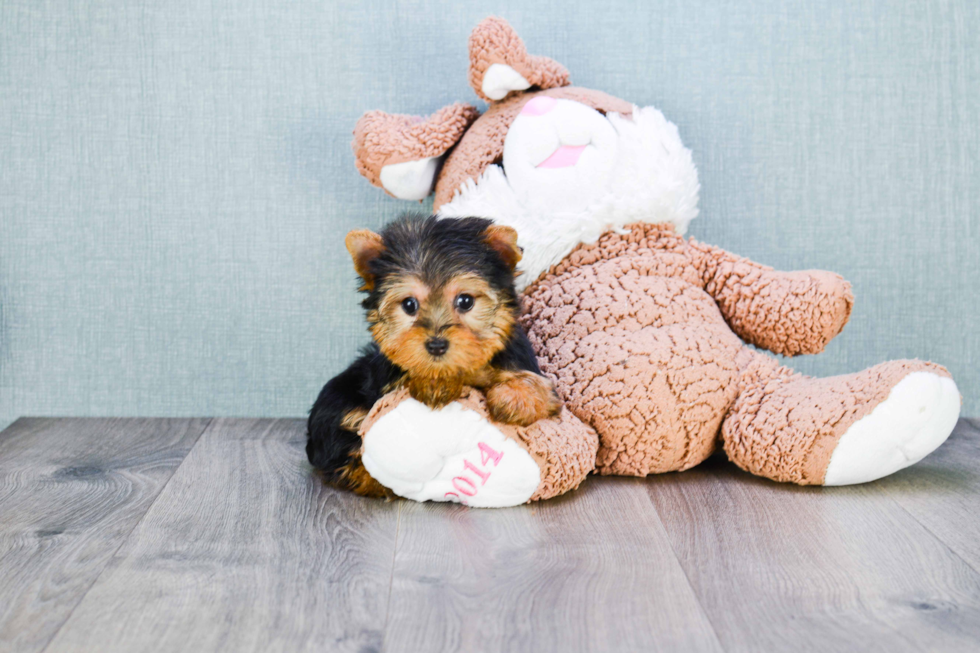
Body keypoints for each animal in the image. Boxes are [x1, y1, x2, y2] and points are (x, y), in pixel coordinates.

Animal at [310, 214, 564, 494]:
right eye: (409, 305)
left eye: (465, 301)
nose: (436, 345)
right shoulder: (385, 383)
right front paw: (435, 382)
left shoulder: (527, 366)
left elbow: (537, 388)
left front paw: (513, 399)